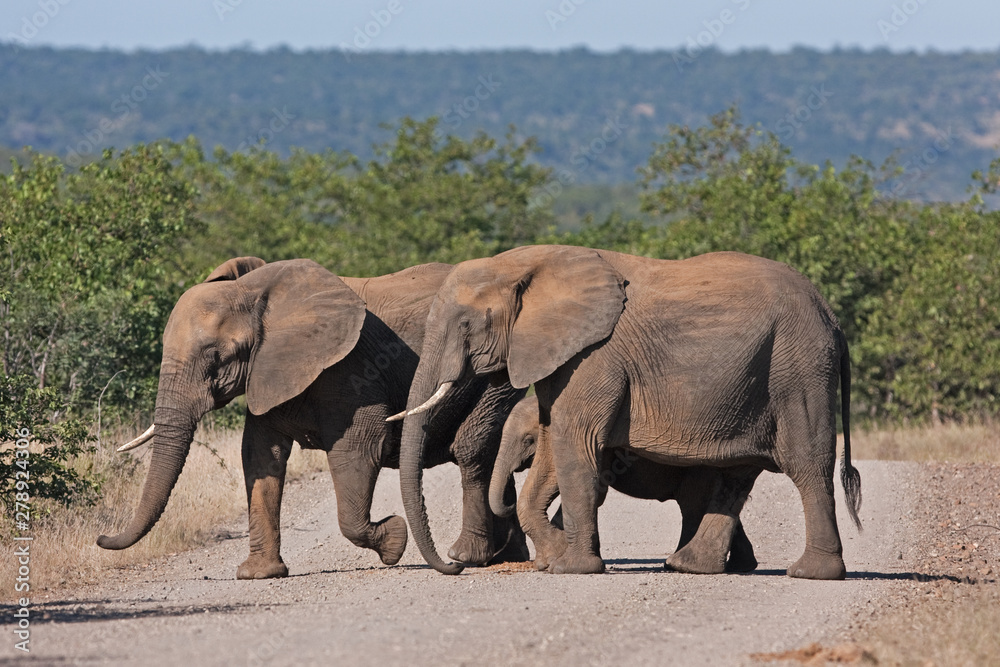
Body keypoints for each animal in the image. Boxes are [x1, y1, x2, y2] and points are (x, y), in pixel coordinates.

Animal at [97, 256, 528, 580]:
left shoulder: (349, 368)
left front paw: (393, 542)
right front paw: (258, 575)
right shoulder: (267, 370)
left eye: (216, 357)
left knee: (473, 449)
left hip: (497, 373)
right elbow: (260, 456)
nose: (101, 539)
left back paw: (472, 557)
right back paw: (509, 558)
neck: (256, 293)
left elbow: (358, 447)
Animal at [486, 396, 756, 576]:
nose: (508, 498)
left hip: (699, 468)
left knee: (692, 506)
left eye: (528, 440)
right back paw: (743, 565)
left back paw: (676, 564)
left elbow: (597, 490)